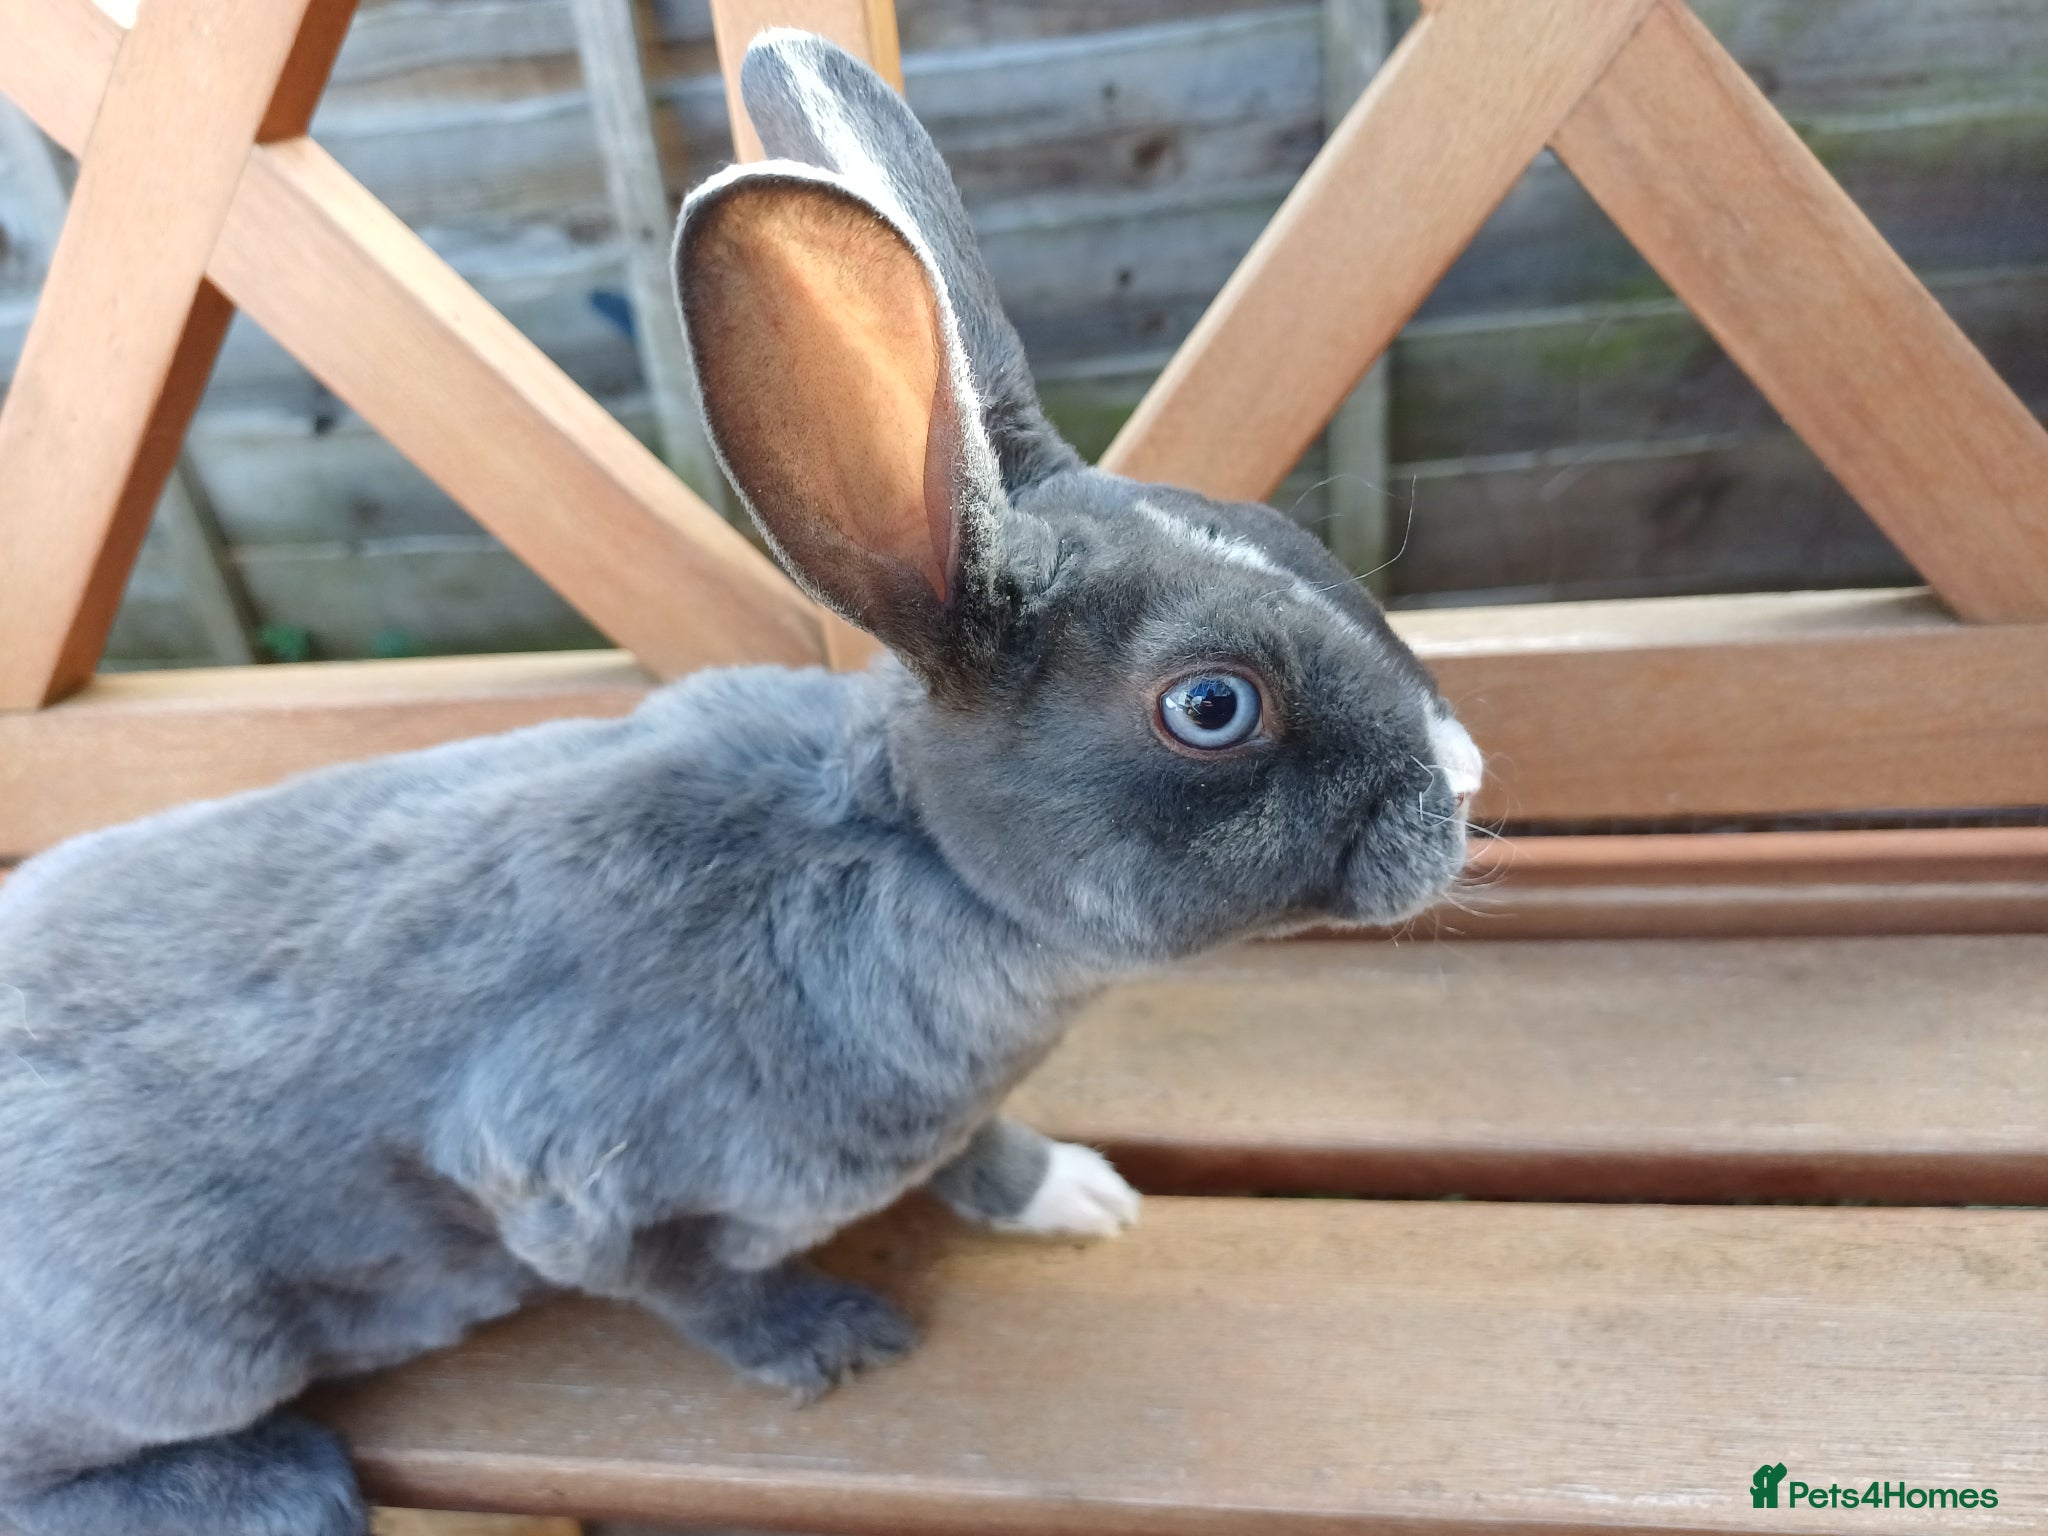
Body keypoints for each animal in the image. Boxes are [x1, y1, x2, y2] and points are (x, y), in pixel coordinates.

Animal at [0, 28, 1483, 1536]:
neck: (911, 857)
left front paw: (1072, 1195)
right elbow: (687, 1287)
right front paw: (832, 1340)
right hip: (185, 1344)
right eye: (1211, 705)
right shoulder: (561, 1178)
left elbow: (976, 1151)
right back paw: (275, 1486)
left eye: (1275, 532)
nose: (1466, 779)